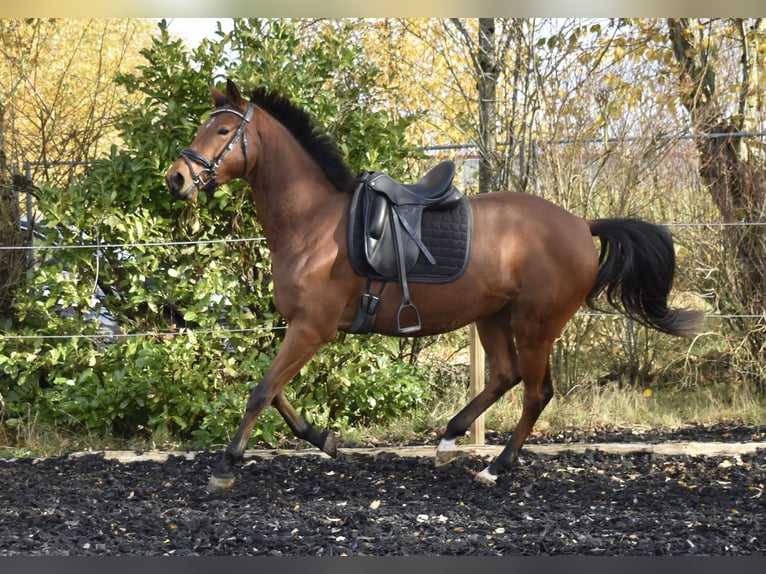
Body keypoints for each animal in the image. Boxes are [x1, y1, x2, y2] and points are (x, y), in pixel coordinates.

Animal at [165, 79, 704, 493]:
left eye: (223, 130)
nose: (176, 179)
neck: (312, 224)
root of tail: (580, 224)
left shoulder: (313, 328)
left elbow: (261, 391)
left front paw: (225, 467)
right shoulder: (301, 327)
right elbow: (272, 390)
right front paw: (323, 438)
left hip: (536, 324)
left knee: (536, 392)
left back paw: (495, 468)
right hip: (493, 316)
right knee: (504, 376)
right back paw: (449, 440)